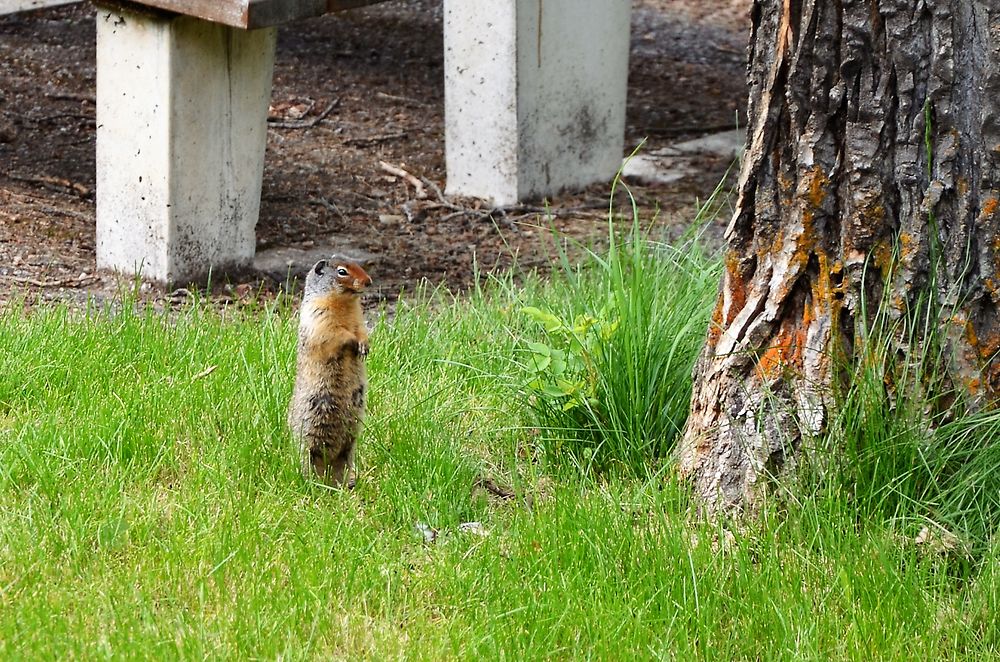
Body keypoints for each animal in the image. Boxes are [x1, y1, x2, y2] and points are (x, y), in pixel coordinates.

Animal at [288, 256, 374, 490]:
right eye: (342, 272)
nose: (369, 281)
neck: (345, 303)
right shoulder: (319, 316)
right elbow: (335, 333)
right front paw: (353, 342)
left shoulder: (359, 319)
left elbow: (362, 330)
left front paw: (364, 346)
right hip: (310, 436)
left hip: (349, 445)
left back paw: (344, 485)